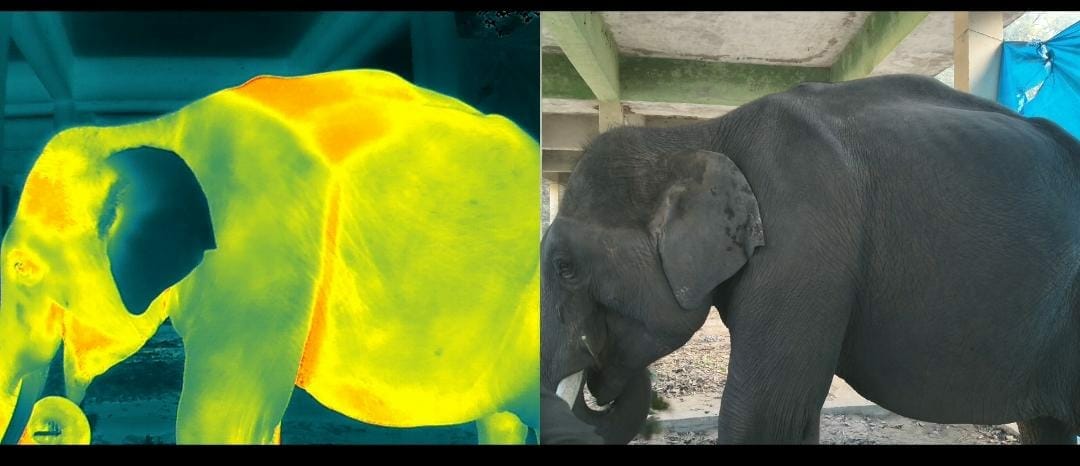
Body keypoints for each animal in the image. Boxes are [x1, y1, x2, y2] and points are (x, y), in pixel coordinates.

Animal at [540, 73, 1080, 444]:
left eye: (566, 268)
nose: (599, 374)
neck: (704, 135)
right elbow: (796, 415)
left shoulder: (803, 241)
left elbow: (765, 413)